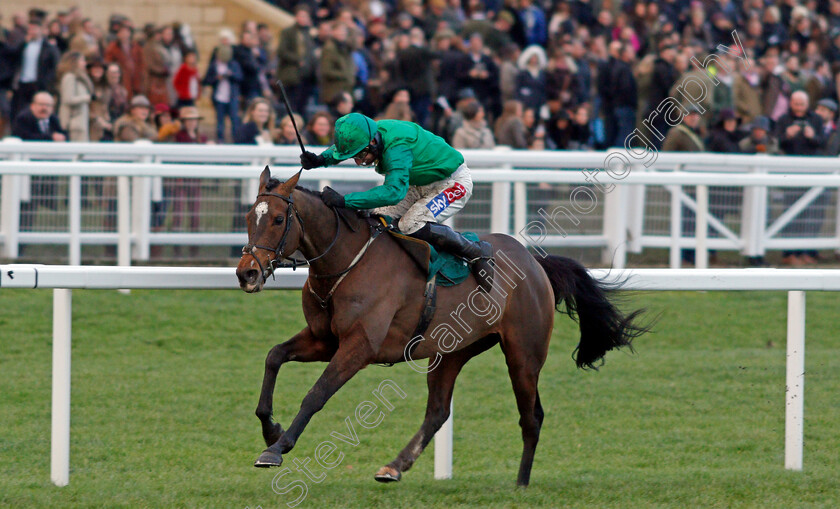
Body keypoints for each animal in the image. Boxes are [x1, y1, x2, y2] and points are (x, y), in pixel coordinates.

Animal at [236, 167, 648, 484]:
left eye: (277, 219)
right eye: (249, 217)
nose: (247, 273)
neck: (346, 261)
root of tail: (534, 263)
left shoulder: (359, 347)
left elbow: (316, 394)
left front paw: (277, 448)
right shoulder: (324, 340)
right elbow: (274, 357)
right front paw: (270, 428)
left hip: (524, 355)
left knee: (531, 417)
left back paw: (521, 483)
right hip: (451, 351)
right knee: (437, 412)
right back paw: (394, 467)